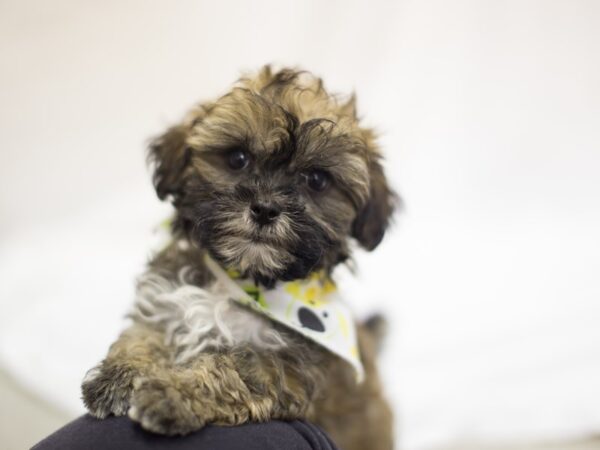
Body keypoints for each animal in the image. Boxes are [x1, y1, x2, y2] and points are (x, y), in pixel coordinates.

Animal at [82, 66, 396, 450]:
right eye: (237, 159)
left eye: (317, 180)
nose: (265, 208)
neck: (243, 277)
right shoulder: (163, 299)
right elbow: (144, 333)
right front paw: (119, 375)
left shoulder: (283, 368)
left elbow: (230, 369)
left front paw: (171, 394)